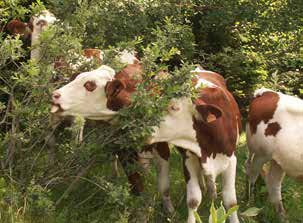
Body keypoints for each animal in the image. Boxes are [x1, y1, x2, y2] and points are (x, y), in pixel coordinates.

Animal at [51, 63, 242, 222]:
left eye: (89, 85)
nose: (55, 95)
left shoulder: (229, 159)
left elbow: (230, 202)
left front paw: (170, 211)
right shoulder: (127, 153)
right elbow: (140, 188)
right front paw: (143, 213)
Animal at [247, 87, 303, 220]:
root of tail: (267, 92)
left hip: (280, 160)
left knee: (273, 182)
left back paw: (281, 215)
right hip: (260, 152)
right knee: (252, 172)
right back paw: (250, 204)